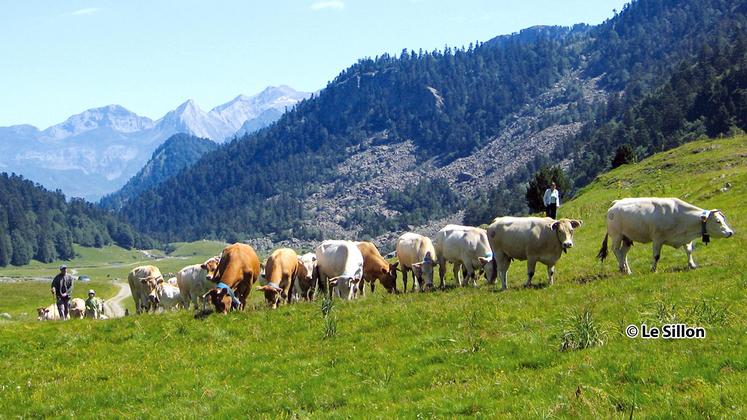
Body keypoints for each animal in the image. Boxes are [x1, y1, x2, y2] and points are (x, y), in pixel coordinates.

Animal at [600, 197, 732, 272]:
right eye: (718, 221)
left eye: (723, 219)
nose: (730, 232)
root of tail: (615, 204)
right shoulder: (657, 238)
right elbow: (656, 256)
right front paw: (653, 269)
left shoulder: (684, 237)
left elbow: (689, 251)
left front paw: (692, 264)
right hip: (617, 236)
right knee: (616, 250)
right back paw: (622, 268)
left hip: (627, 238)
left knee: (623, 253)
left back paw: (628, 270)